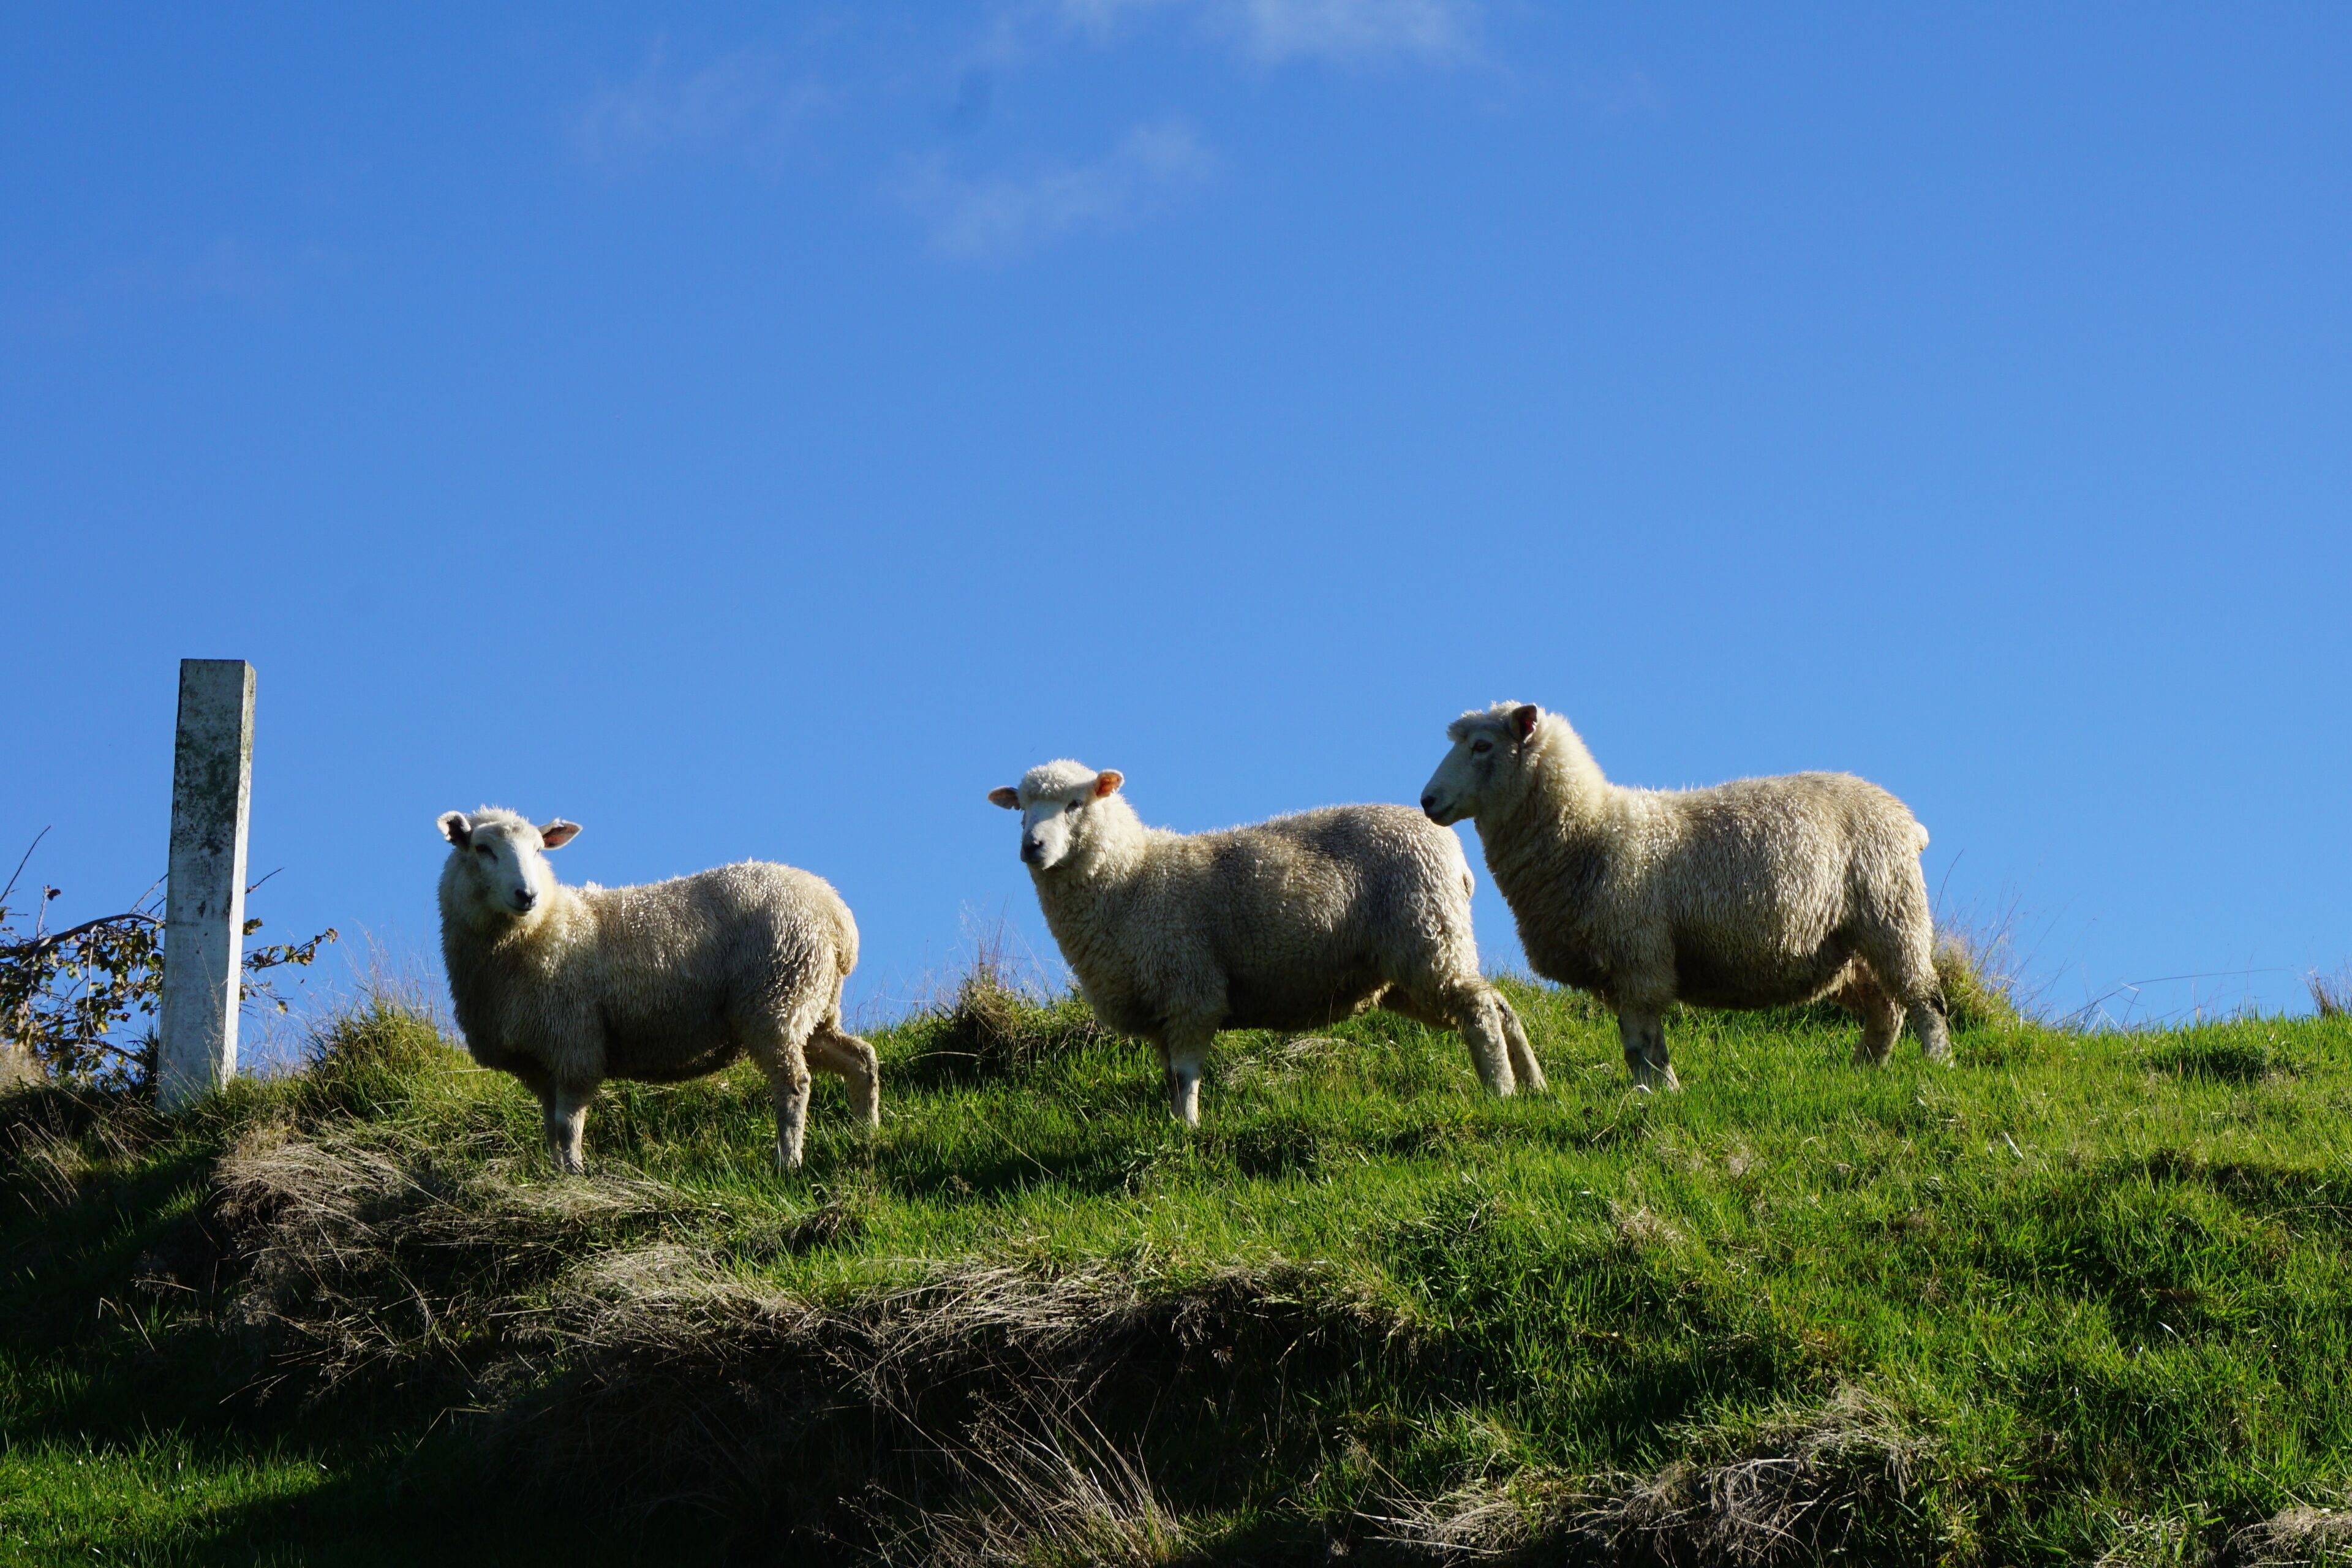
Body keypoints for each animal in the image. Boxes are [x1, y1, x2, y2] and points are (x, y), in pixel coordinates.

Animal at [435, 808, 879, 1173]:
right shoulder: (540, 1061)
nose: (526, 895)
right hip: (811, 1005)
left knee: (795, 1084)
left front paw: (575, 1175)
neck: (543, 927)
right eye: (482, 849)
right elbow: (550, 1128)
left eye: (539, 849)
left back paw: (788, 1162)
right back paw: (865, 1134)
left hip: (775, 1000)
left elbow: (567, 1125)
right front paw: (556, 1176)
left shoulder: (575, 1043)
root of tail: (835, 912)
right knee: (862, 1059)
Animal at [986, 761, 1545, 1125]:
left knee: (1478, 1010)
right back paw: (1533, 1084)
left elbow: (1185, 1075)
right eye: (1021, 809)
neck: (1132, 875)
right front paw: (1171, 1128)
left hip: (1426, 936)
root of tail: (1456, 859)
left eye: (1075, 804)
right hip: (1416, 963)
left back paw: (1501, 1091)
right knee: (1495, 1002)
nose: (1032, 847)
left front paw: (1188, 1132)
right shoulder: (1159, 1006)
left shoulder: (1191, 991)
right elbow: (1169, 1078)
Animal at [1419, 703, 1949, 1089]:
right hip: (1845, 948)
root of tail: (1908, 822)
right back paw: (1864, 1072)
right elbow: (1638, 1042)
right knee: (1886, 1007)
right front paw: (1657, 1090)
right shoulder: (1619, 968)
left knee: (1925, 998)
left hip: (1893, 913)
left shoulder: (1638, 957)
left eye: (1482, 746)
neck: (1588, 830)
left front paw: (1655, 1092)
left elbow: (1641, 1040)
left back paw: (1937, 1065)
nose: (1427, 801)